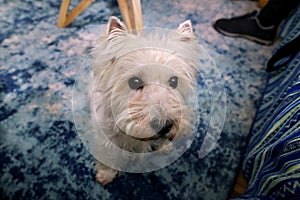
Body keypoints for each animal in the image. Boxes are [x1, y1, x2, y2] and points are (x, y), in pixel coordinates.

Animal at [89, 16, 202, 185]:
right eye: (135, 82)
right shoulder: (106, 137)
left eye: (174, 81)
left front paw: (165, 145)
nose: (165, 126)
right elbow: (108, 155)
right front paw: (105, 175)